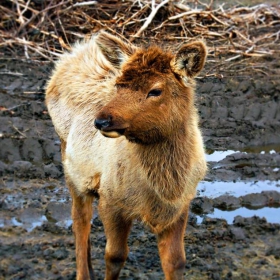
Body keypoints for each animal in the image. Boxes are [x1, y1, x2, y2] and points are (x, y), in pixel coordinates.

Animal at [45, 30, 208, 280]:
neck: (166, 189)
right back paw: (83, 272)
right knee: (79, 220)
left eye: (155, 90)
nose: (101, 120)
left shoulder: (181, 206)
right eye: (119, 85)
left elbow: (176, 261)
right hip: (70, 164)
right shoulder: (111, 200)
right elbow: (115, 256)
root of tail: (72, 53)